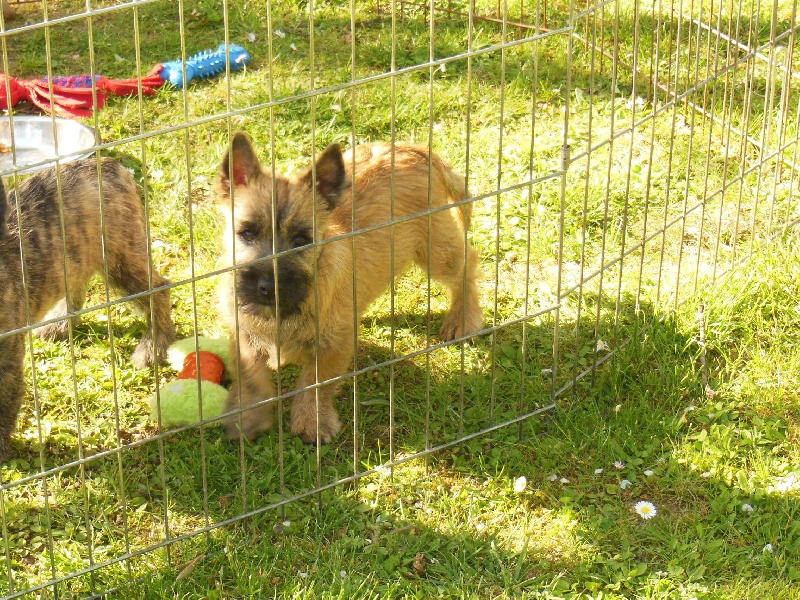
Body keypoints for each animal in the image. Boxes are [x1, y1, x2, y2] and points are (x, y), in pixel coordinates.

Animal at [0, 158, 176, 462]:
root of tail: (105, 163)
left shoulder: (7, 362)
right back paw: (59, 323)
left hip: (122, 260)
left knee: (159, 291)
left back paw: (154, 346)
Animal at [216, 132, 483, 445]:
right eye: (246, 233)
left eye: (301, 240)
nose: (268, 287)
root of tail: (412, 149)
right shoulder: (243, 331)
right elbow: (250, 374)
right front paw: (249, 417)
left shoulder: (335, 344)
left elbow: (316, 382)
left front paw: (312, 422)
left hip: (437, 251)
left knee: (467, 266)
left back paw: (463, 320)